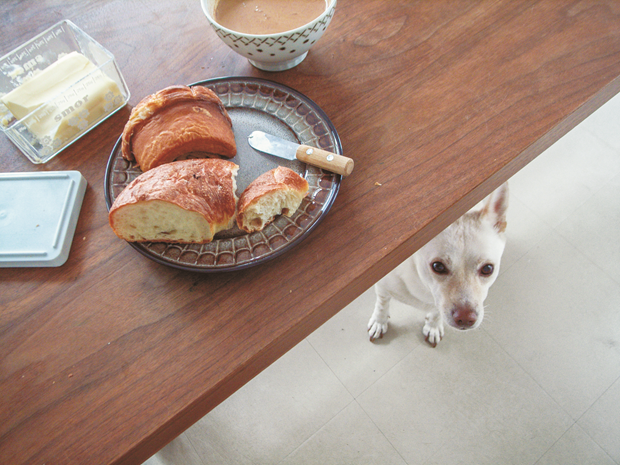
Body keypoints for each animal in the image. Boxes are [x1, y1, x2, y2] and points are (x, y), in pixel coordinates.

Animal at [368, 183, 508, 346]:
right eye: (438, 267)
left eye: (487, 269)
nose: (465, 318)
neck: (423, 287)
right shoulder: (383, 286)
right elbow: (382, 304)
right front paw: (379, 322)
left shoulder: (438, 303)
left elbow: (436, 313)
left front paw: (433, 326)